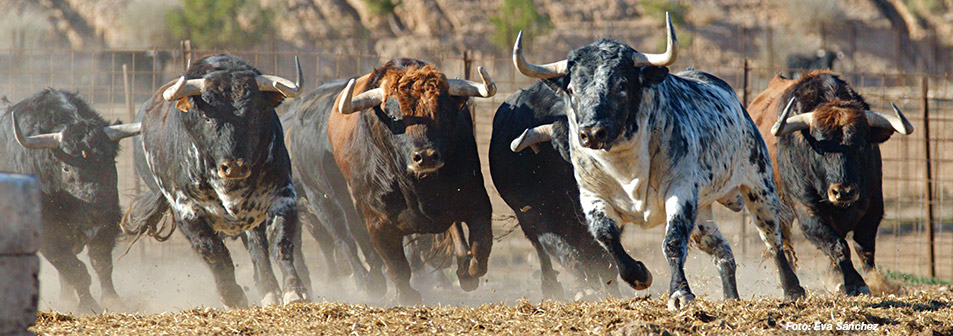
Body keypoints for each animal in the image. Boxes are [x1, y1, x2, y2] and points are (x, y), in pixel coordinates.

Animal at [0, 88, 141, 312]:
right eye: (66, 168)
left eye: (108, 161)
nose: (96, 208)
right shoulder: (49, 236)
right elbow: (76, 270)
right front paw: (88, 304)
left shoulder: (107, 225)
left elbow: (102, 264)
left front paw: (113, 301)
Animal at [122, 53, 308, 308]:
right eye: (207, 117)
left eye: (255, 114)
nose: (235, 166)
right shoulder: (187, 211)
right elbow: (214, 253)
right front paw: (233, 296)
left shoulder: (283, 195)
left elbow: (281, 241)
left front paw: (294, 291)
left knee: (258, 246)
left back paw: (270, 292)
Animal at [284, 57, 498, 304]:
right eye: (395, 117)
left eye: (442, 112)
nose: (425, 156)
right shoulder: (377, 221)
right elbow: (396, 264)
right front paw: (406, 294)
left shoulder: (477, 202)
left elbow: (481, 246)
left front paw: (467, 273)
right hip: (323, 201)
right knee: (345, 239)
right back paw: (368, 282)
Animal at [752, 70, 916, 294]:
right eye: (819, 147)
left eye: (862, 144)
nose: (843, 192)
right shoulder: (807, 210)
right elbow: (837, 245)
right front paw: (853, 282)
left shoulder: (874, 204)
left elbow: (864, 246)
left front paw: (872, 281)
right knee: (779, 244)